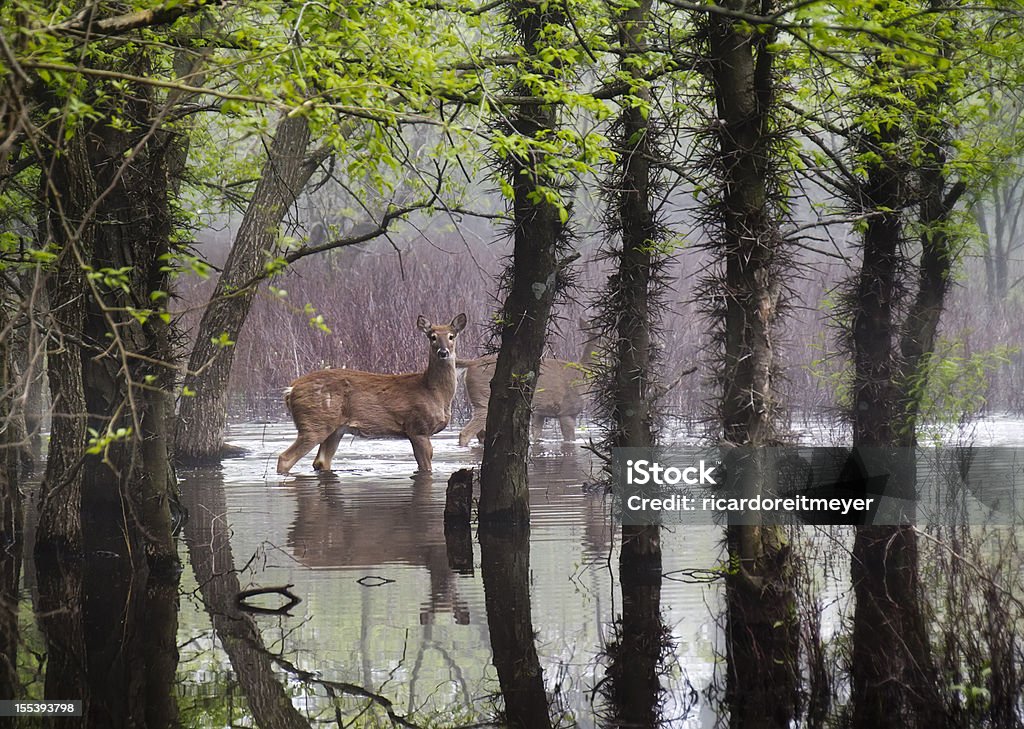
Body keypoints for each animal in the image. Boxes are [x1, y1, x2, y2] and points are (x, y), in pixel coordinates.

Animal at [276, 311, 468, 473]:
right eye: (432, 337)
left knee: (321, 462)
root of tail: (291, 389)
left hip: (335, 429)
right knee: (285, 458)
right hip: (314, 423)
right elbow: (425, 467)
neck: (434, 392)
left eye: (451, 336)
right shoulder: (417, 428)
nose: (443, 352)